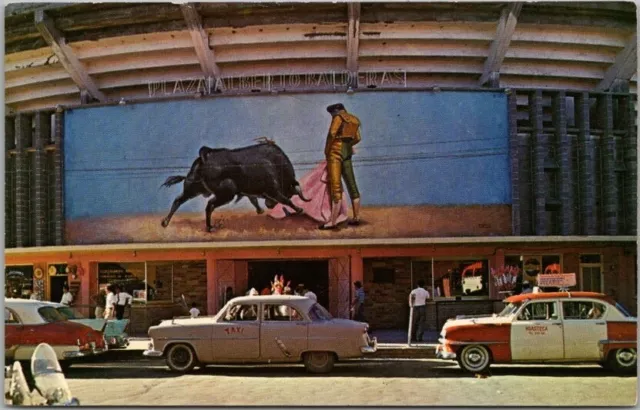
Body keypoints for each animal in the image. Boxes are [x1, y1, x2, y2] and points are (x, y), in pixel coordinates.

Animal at [160, 142, 310, 231]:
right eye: (290, 191)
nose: (269, 206)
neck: (276, 162)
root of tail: (205, 157)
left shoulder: (250, 191)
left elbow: (253, 199)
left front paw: (260, 210)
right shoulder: (273, 190)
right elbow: (286, 200)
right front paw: (299, 209)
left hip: (193, 188)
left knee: (179, 200)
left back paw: (165, 222)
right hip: (226, 193)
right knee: (209, 205)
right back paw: (210, 227)